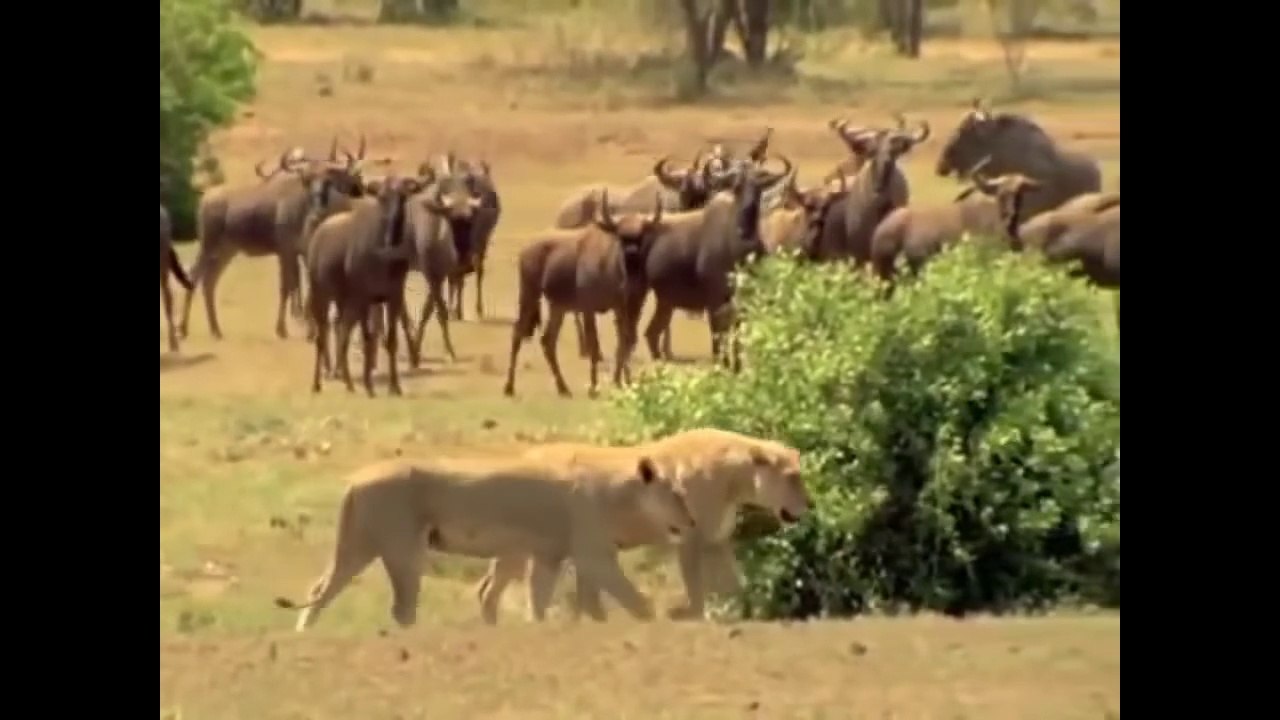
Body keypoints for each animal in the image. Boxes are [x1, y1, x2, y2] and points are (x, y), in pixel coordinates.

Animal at [274, 453, 696, 632]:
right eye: (676, 495)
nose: (691, 522)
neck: (620, 495)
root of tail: (356, 480)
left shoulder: (549, 556)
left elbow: (543, 598)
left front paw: (539, 629)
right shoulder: (594, 556)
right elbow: (634, 599)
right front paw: (660, 626)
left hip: (357, 546)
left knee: (320, 589)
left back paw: (304, 635)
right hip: (402, 549)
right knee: (401, 608)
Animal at [475, 427, 810, 623]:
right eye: (792, 478)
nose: (808, 505)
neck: (736, 480)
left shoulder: (716, 542)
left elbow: (734, 585)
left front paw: (747, 614)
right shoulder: (690, 539)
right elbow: (697, 586)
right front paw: (697, 616)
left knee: (489, 586)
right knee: (493, 588)